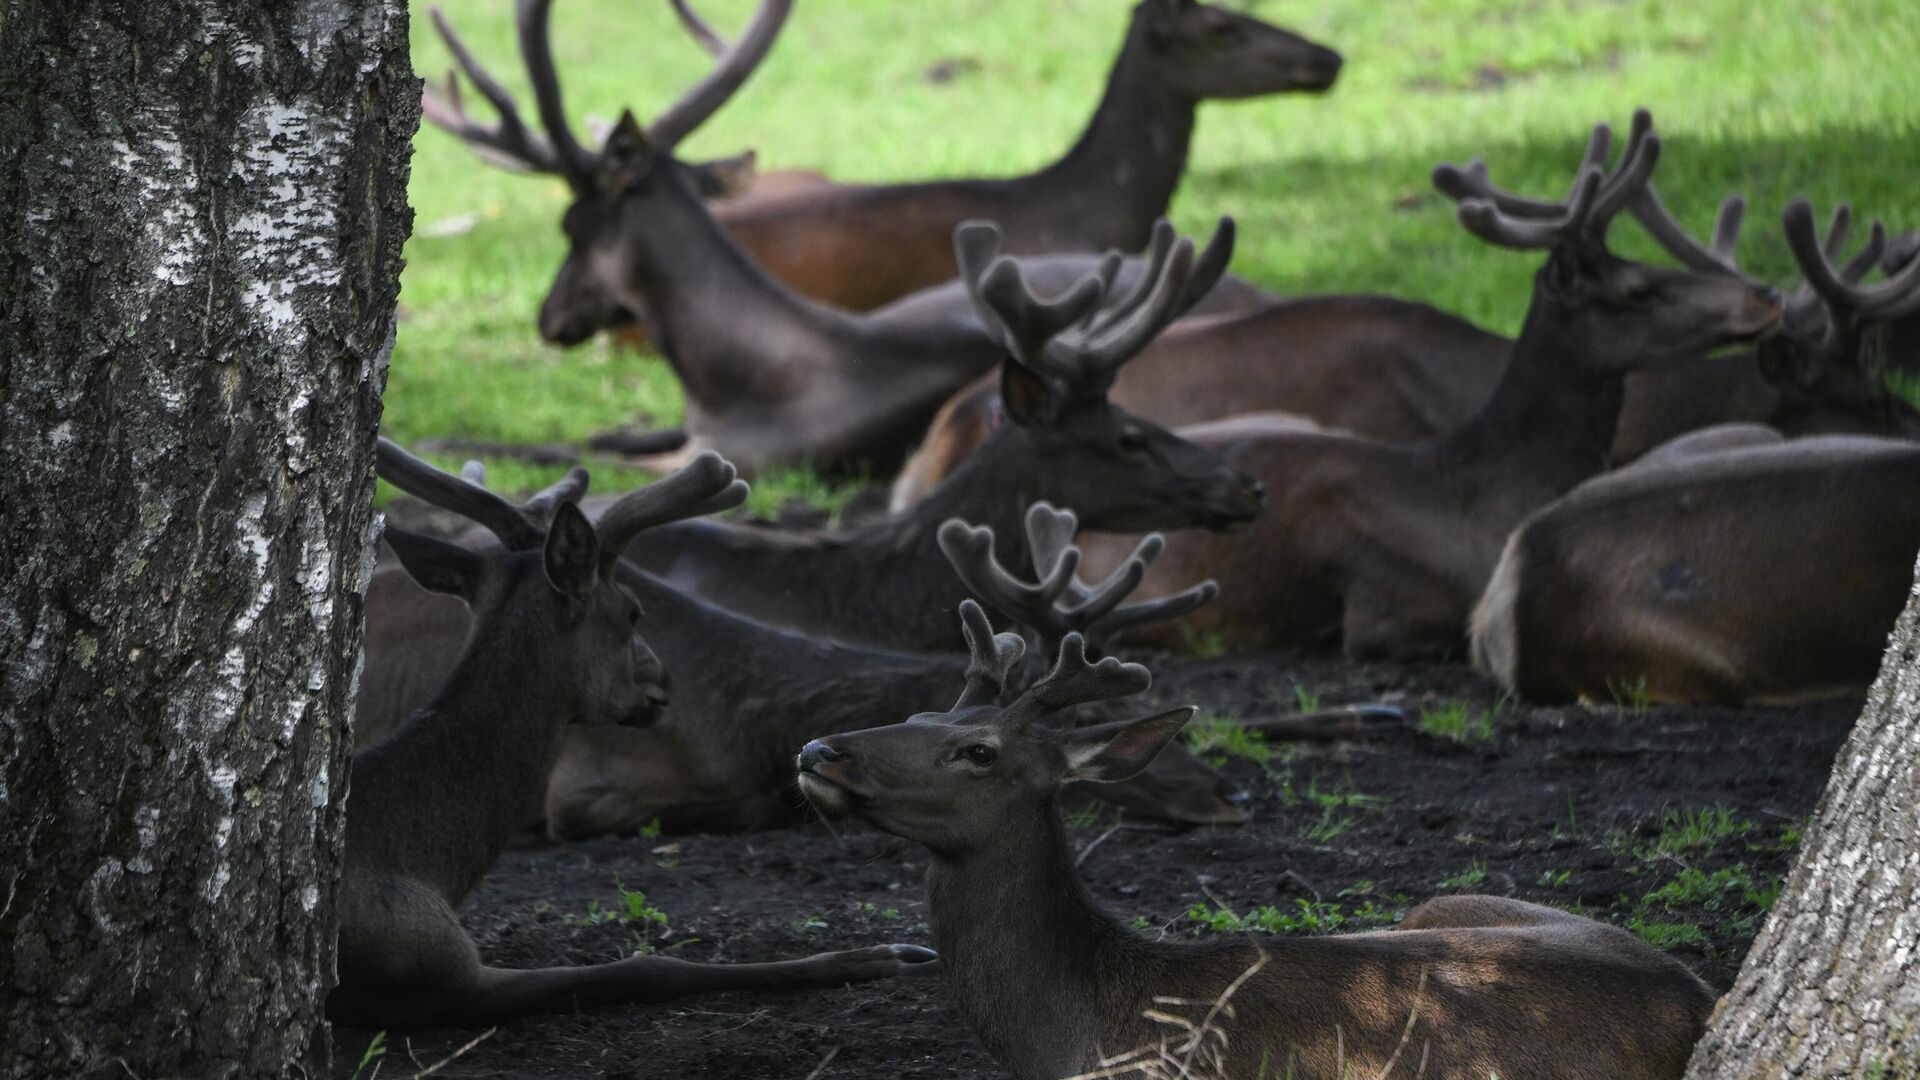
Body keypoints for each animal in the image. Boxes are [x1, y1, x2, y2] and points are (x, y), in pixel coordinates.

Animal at [336, 432, 936, 1022]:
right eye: (631, 610)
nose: (663, 679)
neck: (428, 865)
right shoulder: (442, 968)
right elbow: (652, 967)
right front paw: (887, 955)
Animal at [794, 614, 1712, 1076]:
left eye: (978, 750)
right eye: (917, 715)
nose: (817, 750)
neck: (1075, 1030)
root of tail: (1700, 998)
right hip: (1443, 900)